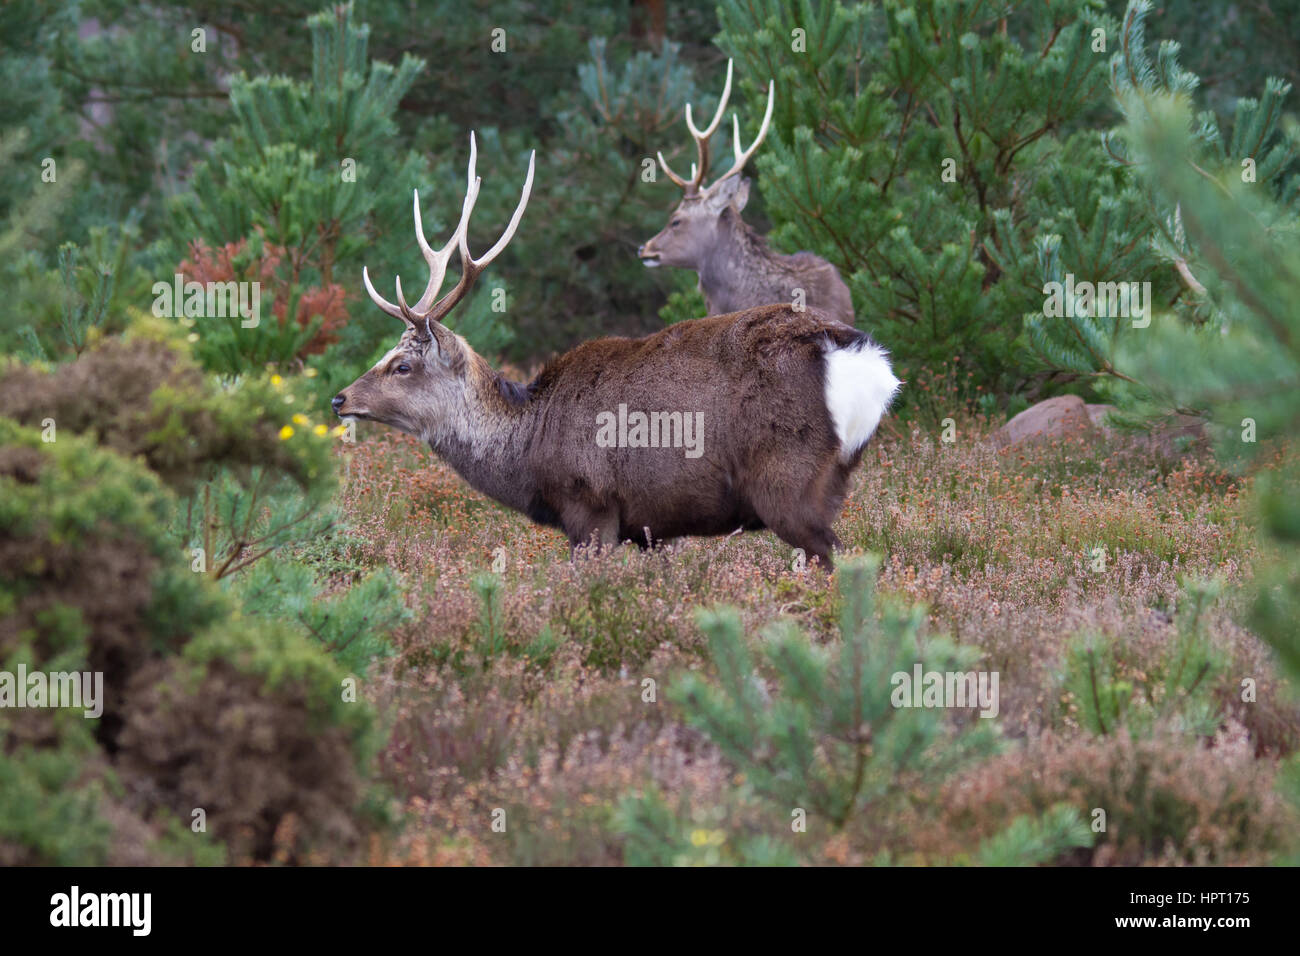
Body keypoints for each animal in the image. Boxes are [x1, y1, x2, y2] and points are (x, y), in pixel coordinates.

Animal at [332, 133, 900, 569]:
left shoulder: (590, 505)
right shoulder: (656, 527)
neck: (529, 447)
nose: (340, 398)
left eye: (403, 365)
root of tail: (866, 361)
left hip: (789, 478)